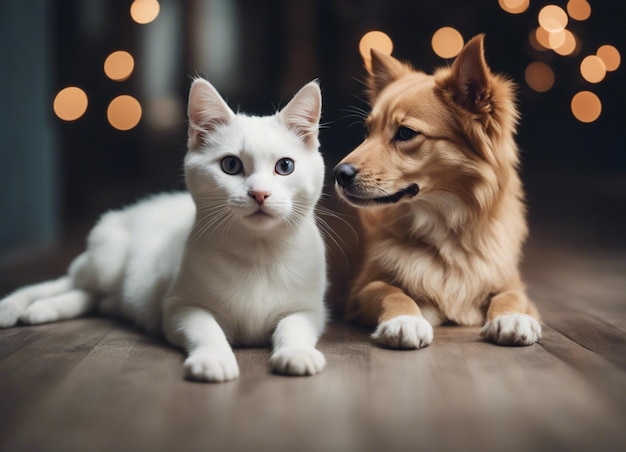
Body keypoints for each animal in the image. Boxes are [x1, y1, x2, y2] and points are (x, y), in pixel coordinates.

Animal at [0, 77, 326, 382]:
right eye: (231, 165)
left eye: (285, 166)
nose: (259, 194)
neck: (259, 252)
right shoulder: (180, 307)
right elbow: (206, 329)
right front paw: (213, 358)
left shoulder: (309, 309)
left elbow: (294, 326)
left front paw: (297, 353)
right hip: (105, 261)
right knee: (71, 283)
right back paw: (24, 306)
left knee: (91, 296)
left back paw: (48, 309)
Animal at [334, 35, 540, 348]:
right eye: (368, 132)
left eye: (406, 133)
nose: (339, 174)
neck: (448, 230)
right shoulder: (360, 291)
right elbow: (390, 291)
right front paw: (405, 319)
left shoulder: (510, 280)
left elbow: (512, 295)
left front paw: (512, 317)